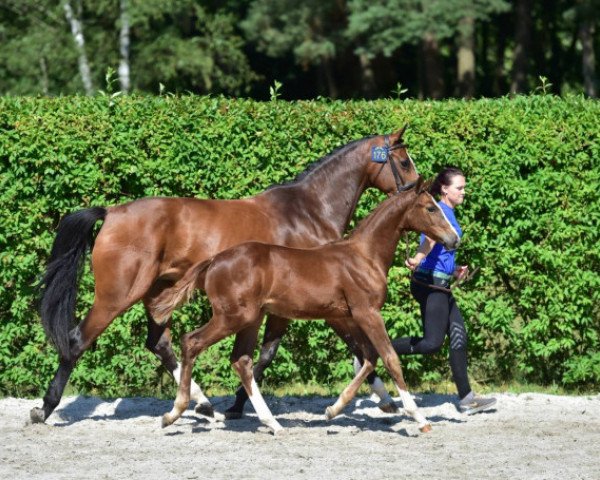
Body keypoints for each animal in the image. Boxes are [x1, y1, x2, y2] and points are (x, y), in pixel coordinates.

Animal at [31, 127, 418, 424]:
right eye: (403, 161)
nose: (420, 190)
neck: (307, 211)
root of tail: (111, 212)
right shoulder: (320, 304)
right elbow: (349, 348)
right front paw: (385, 400)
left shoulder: (285, 307)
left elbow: (268, 354)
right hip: (116, 296)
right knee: (78, 341)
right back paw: (45, 409)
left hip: (157, 294)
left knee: (160, 343)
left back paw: (202, 404)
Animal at [158, 178, 460, 434]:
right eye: (431, 208)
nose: (454, 239)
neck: (364, 256)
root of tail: (214, 261)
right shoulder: (367, 312)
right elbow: (390, 358)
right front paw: (418, 417)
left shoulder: (349, 316)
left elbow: (369, 356)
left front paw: (333, 409)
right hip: (232, 317)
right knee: (191, 342)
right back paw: (176, 412)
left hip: (251, 319)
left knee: (241, 361)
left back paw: (272, 423)